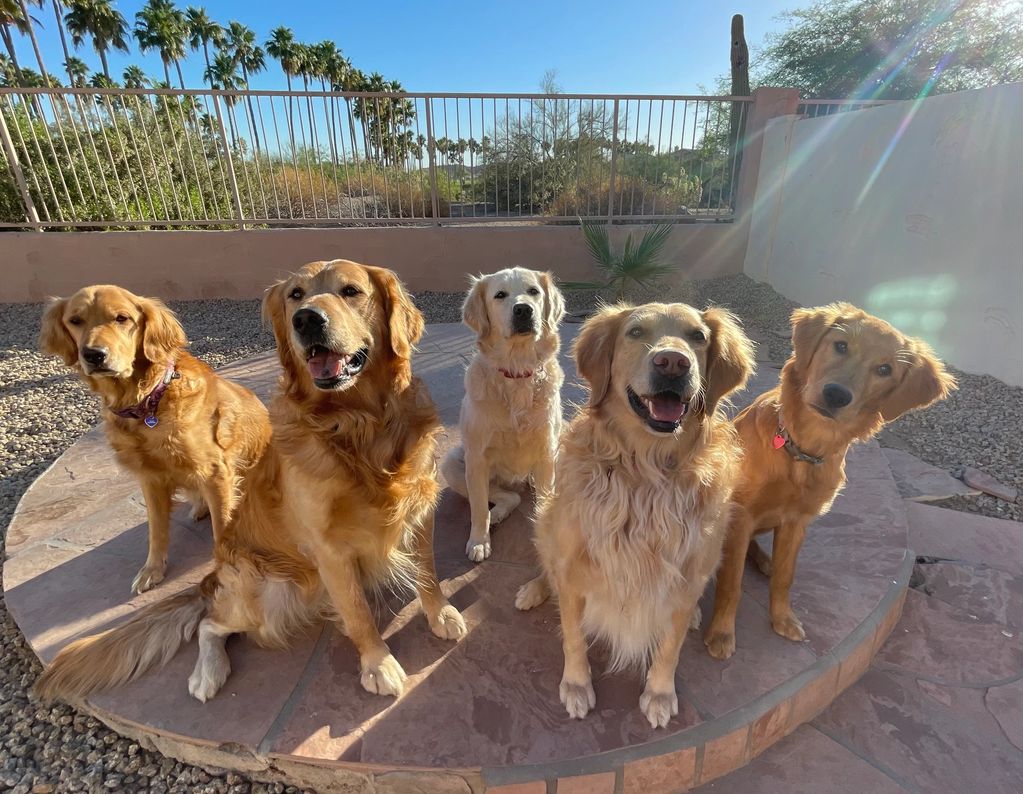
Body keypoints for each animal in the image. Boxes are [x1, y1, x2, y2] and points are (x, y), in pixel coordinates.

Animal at [40, 284, 272, 589]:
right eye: (75, 320)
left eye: (122, 318)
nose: (93, 354)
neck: (148, 403)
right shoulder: (150, 478)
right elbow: (157, 530)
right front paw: (152, 570)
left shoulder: (215, 472)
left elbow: (222, 528)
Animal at [439, 268, 568, 564]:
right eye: (500, 295)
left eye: (533, 291)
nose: (523, 310)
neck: (517, 371)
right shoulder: (476, 459)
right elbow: (477, 508)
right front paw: (479, 540)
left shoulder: (547, 451)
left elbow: (545, 500)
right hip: (452, 463)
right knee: (509, 498)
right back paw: (495, 515)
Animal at [519, 302, 752, 724]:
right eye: (635, 332)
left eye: (698, 337)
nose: (673, 362)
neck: (646, 473)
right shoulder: (574, 569)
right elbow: (573, 636)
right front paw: (576, 685)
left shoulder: (687, 577)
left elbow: (670, 647)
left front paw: (659, 694)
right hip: (546, 521)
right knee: (548, 567)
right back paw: (534, 589)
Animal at [703, 300, 957, 658]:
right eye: (840, 345)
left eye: (885, 369)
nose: (836, 394)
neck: (801, 451)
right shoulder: (741, 513)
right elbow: (731, 583)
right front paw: (722, 634)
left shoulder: (797, 521)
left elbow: (786, 576)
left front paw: (783, 617)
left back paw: (765, 561)